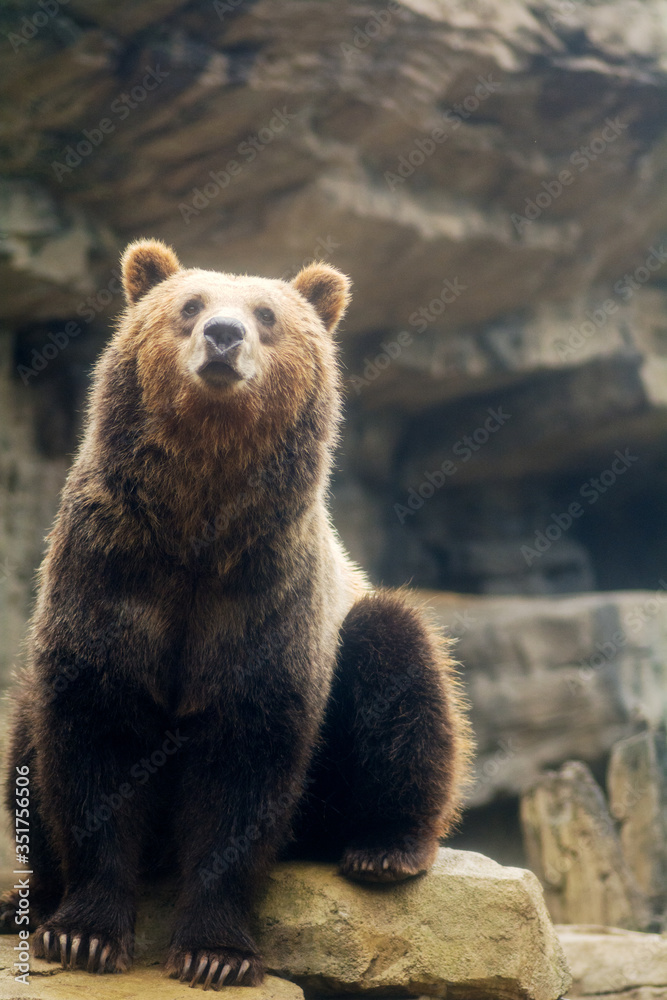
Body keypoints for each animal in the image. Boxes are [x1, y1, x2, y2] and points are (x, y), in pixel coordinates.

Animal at [1, 240, 472, 989]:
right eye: (190, 305)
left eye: (267, 314)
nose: (224, 335)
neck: (198, 518)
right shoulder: (112, 570)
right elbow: (94, 736)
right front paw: (83, 934)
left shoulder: (262, 595)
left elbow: (243, 768)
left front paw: (214, 953)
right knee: (25, 735)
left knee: (401, 658)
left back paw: (384, 847)